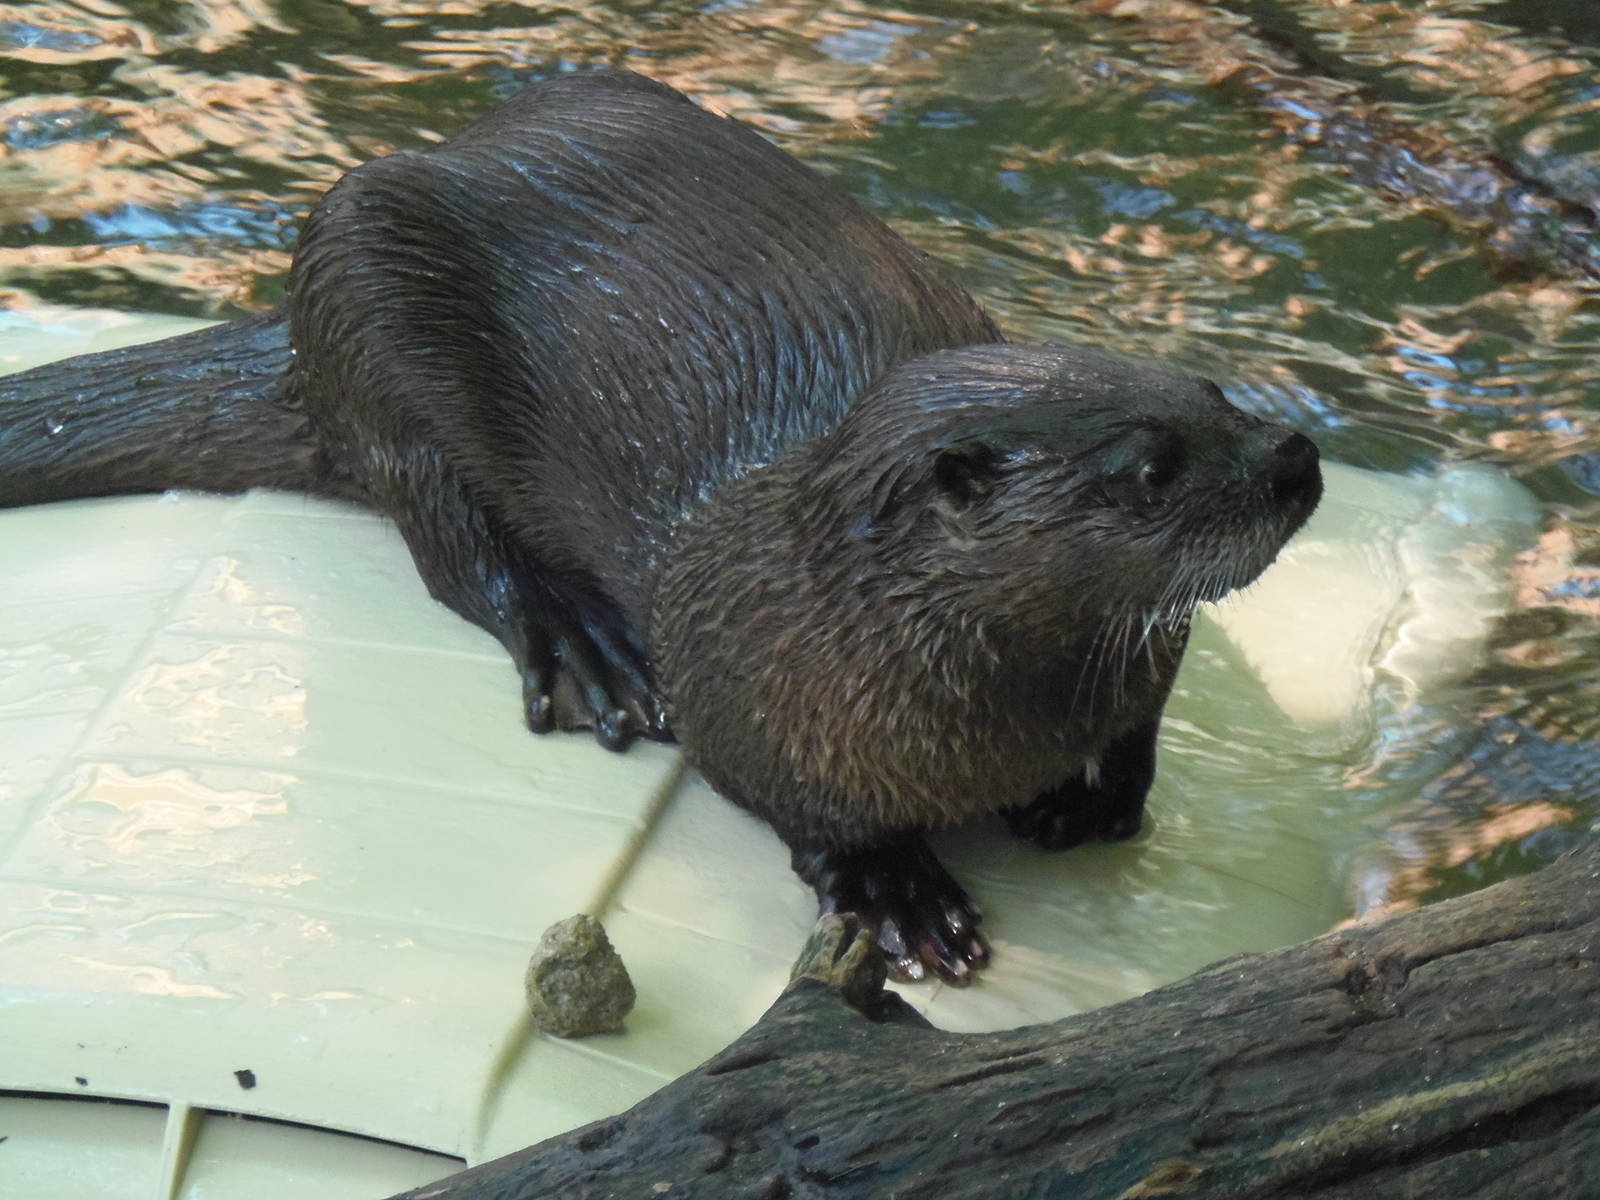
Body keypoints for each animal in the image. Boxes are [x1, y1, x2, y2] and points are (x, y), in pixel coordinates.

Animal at [0, 70, 1321, 983]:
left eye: (1211, 391)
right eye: (1149, 467)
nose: (1296, 458)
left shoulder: (1141, 660)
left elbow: (1139, 725)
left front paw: (1093, 794)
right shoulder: (743, 673)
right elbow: (788, 794)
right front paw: (896, 893)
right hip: (360, 286)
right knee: (448, 537)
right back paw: (585, 650)